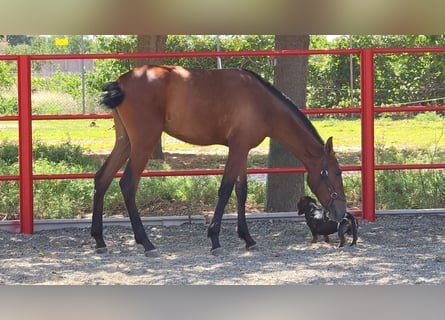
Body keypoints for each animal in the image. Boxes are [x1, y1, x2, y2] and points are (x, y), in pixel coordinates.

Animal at [91, 63, 346, 256]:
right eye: (336, 172)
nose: (341, 213)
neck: (260, 102)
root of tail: (121, 82)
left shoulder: (243, 150)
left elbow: (241, 192)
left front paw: (247, 238)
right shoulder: (237, 149)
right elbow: (225, 189)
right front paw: (215, 239)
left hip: (125, 142)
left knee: (102, 179)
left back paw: (99, 240)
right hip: (143, 143)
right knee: (127, 184)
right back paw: (146, 243)